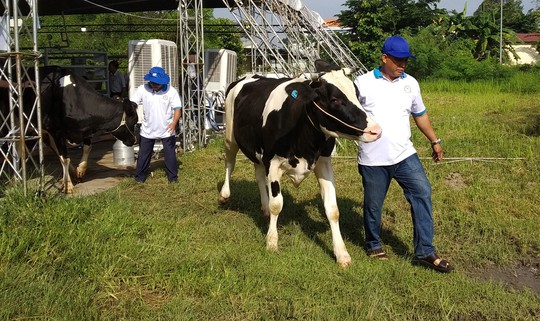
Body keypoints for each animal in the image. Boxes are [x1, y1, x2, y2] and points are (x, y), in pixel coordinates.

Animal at [217, 59, 382, 264]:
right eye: (335, 100)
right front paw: (272, 242)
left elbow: (332, 209)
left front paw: (341, 253)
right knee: (229, 163)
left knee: (258, 173)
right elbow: (277, 204)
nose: (376, 131)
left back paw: (263, 206)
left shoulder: (324, 163)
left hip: (257, 150)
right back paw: (224, 194)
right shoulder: (273, 163)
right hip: (230, 136)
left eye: (357, 94)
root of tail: (250, 76)